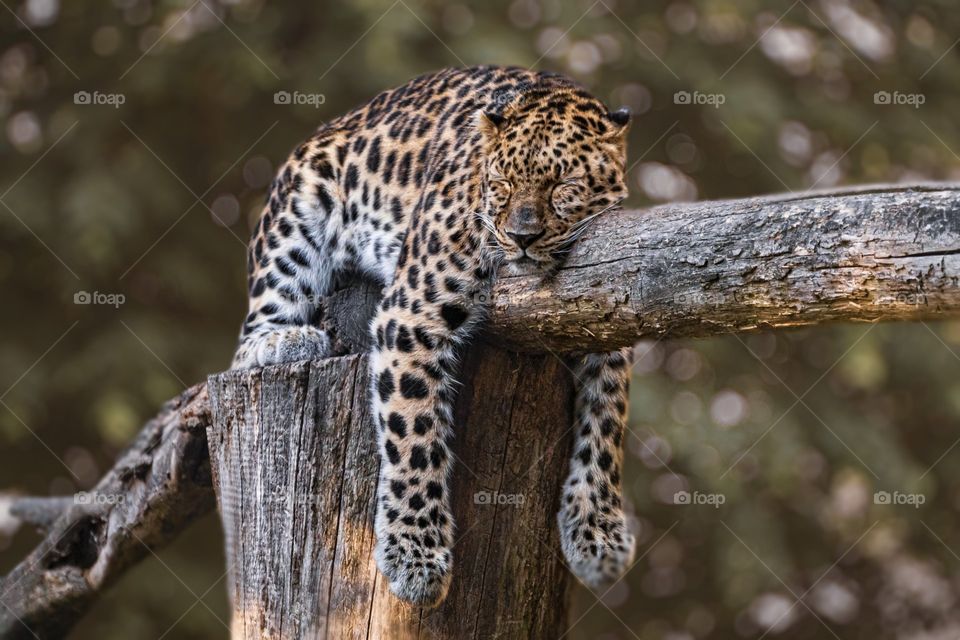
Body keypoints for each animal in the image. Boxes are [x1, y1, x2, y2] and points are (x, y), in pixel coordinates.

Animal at [231, 65, 635, 607]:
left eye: (563, 185)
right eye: (503, 183)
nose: (521, 238)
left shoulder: (610, 320)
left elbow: (606, 427)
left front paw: (597, 535)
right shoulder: (411, 315)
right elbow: (414, 434)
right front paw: (415, 557)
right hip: (295, 216)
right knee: (250, 335)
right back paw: (285, 341)